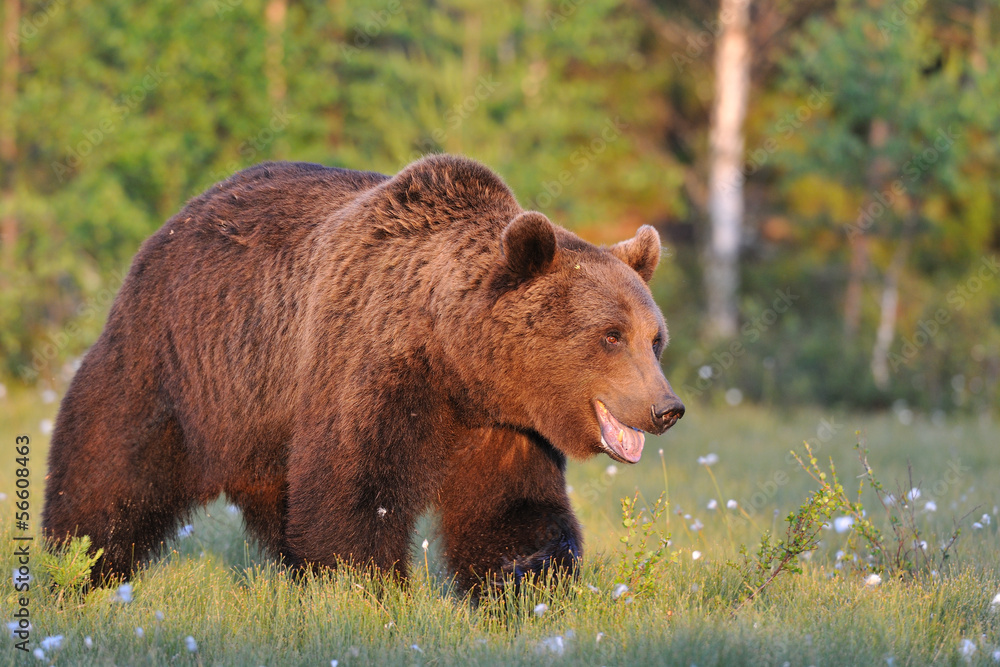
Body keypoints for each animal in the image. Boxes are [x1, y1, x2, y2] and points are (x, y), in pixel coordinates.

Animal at [42, 154, 685, 592]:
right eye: (610, 336)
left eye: (655, 339)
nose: (666, 408)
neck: (457, 362)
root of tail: (174, 222)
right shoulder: (370, 362)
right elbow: (353, 491)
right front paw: (367, 587)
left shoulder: (505, 426)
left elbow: (516, 512)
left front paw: (525, 585)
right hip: (176, 362)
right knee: (109, 465)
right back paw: (75, 565)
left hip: (262, 418)